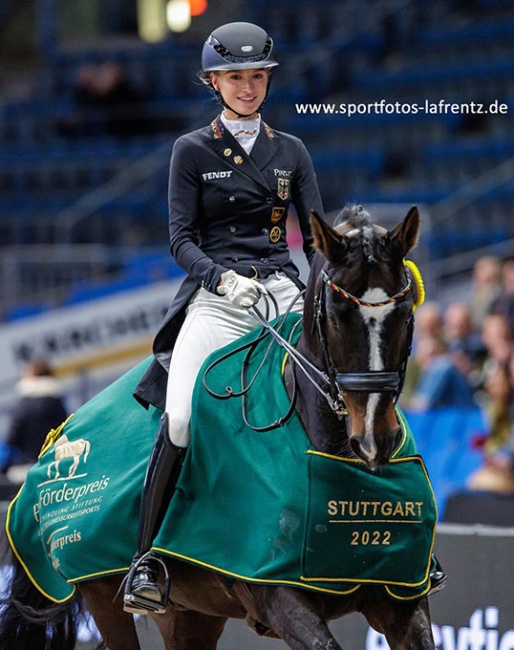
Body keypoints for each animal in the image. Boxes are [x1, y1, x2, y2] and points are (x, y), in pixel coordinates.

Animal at [0, 206, 434, 648]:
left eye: (406, 314)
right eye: (336, 315)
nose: (375, 438)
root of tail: (56, 436)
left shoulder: (403, 599)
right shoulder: (280, 598)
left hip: (190, 613)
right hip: (101, 592)